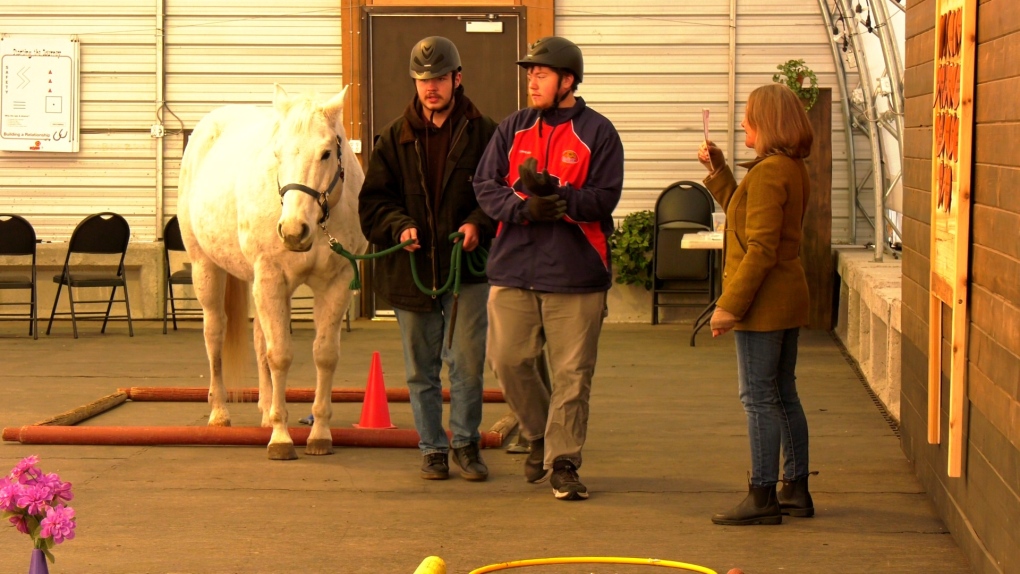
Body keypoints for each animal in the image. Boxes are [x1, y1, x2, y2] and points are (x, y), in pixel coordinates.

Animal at [178, 85, 367, 460]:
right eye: (277, 154)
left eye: (326, 153)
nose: (293, 231)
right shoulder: (271, 278)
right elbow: (279, 355)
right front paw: (281, 437)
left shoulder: (335, 283)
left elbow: (324, 355)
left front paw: (319, 434)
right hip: (206, 268)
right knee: (214, 333)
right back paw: (219, 412)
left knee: (258, 337)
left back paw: (265, 410)